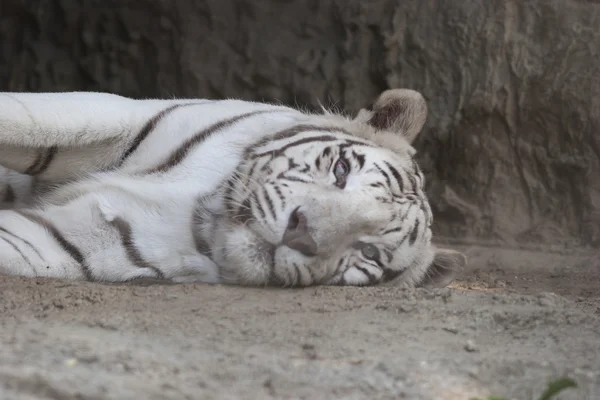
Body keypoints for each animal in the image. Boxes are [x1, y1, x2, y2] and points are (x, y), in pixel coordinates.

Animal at [0, 88, 466, 286]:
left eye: (369, 253)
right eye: (340, 170)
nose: (301, 233)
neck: (205, 213)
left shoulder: (73, 242)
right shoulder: (113, 115)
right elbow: (23, 118)